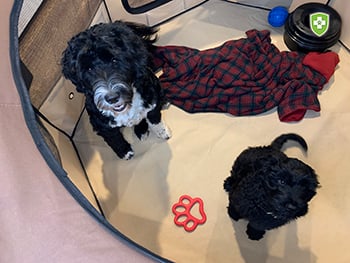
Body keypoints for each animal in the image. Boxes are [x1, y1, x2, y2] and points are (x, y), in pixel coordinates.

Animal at [61, 20, 171, 161]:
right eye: (89, 69)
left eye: (115, 60)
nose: (112, 98)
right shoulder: (102, 125)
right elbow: (114, 139)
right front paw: (124, 152)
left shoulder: (151, 101)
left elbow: (155, 120)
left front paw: (163, 133)